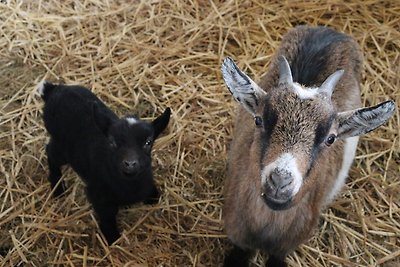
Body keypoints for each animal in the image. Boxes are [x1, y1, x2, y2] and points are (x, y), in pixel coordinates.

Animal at [39, 82, 172, 246]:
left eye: (148, 142)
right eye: (112, 142)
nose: (130, 163)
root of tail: (54, 89)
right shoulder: (99, 197)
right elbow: (107, 218)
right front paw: (112, 238)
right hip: (62, 146)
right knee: (50, 152)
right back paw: (57, 188)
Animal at [220, 24, 396, 266]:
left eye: (330, 138)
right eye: (259, 120)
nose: (280, 181)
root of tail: (328, 30)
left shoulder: (284, 249)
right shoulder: (238, 237)